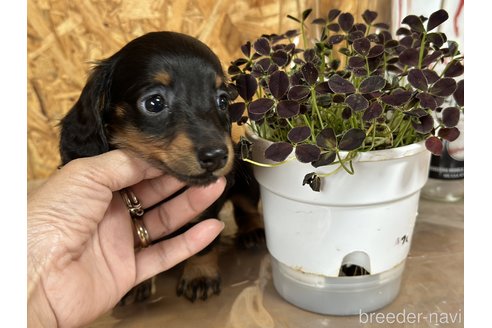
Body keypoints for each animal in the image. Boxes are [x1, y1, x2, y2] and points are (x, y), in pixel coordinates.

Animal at [59, 32, 264, 304]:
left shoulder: (206, 206)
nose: (217, 156)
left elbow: (204, 243)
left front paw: (200, 275)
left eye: (222, 100)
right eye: (154, 103)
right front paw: (136, 283)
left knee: (247, 207)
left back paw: (253, 230)